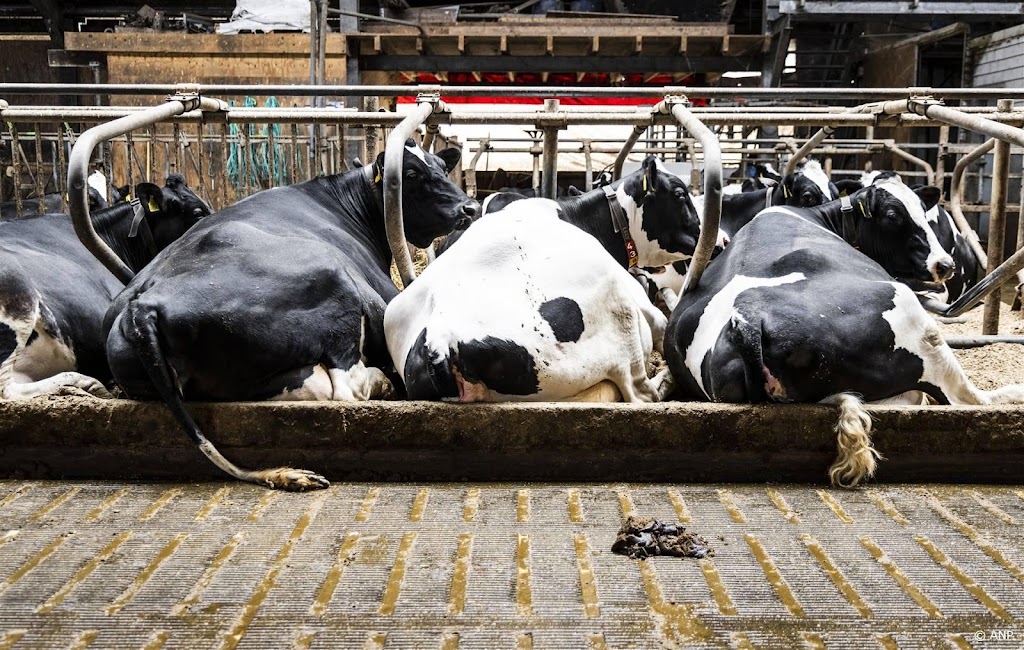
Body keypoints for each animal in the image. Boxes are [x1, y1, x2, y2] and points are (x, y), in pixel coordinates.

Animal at [99, 141, 475, 487]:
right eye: (411, 175)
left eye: (443, 166)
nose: (469, 207)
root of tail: (142, 306)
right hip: (334, 280)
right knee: (348, 385)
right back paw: (382, 382)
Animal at [663, 172, 1024, 487]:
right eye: (893, 215)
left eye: (923, 210)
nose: (945, 265)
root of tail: (747, 321)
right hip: (915, 320)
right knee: (968, 397)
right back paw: (1012, 392)